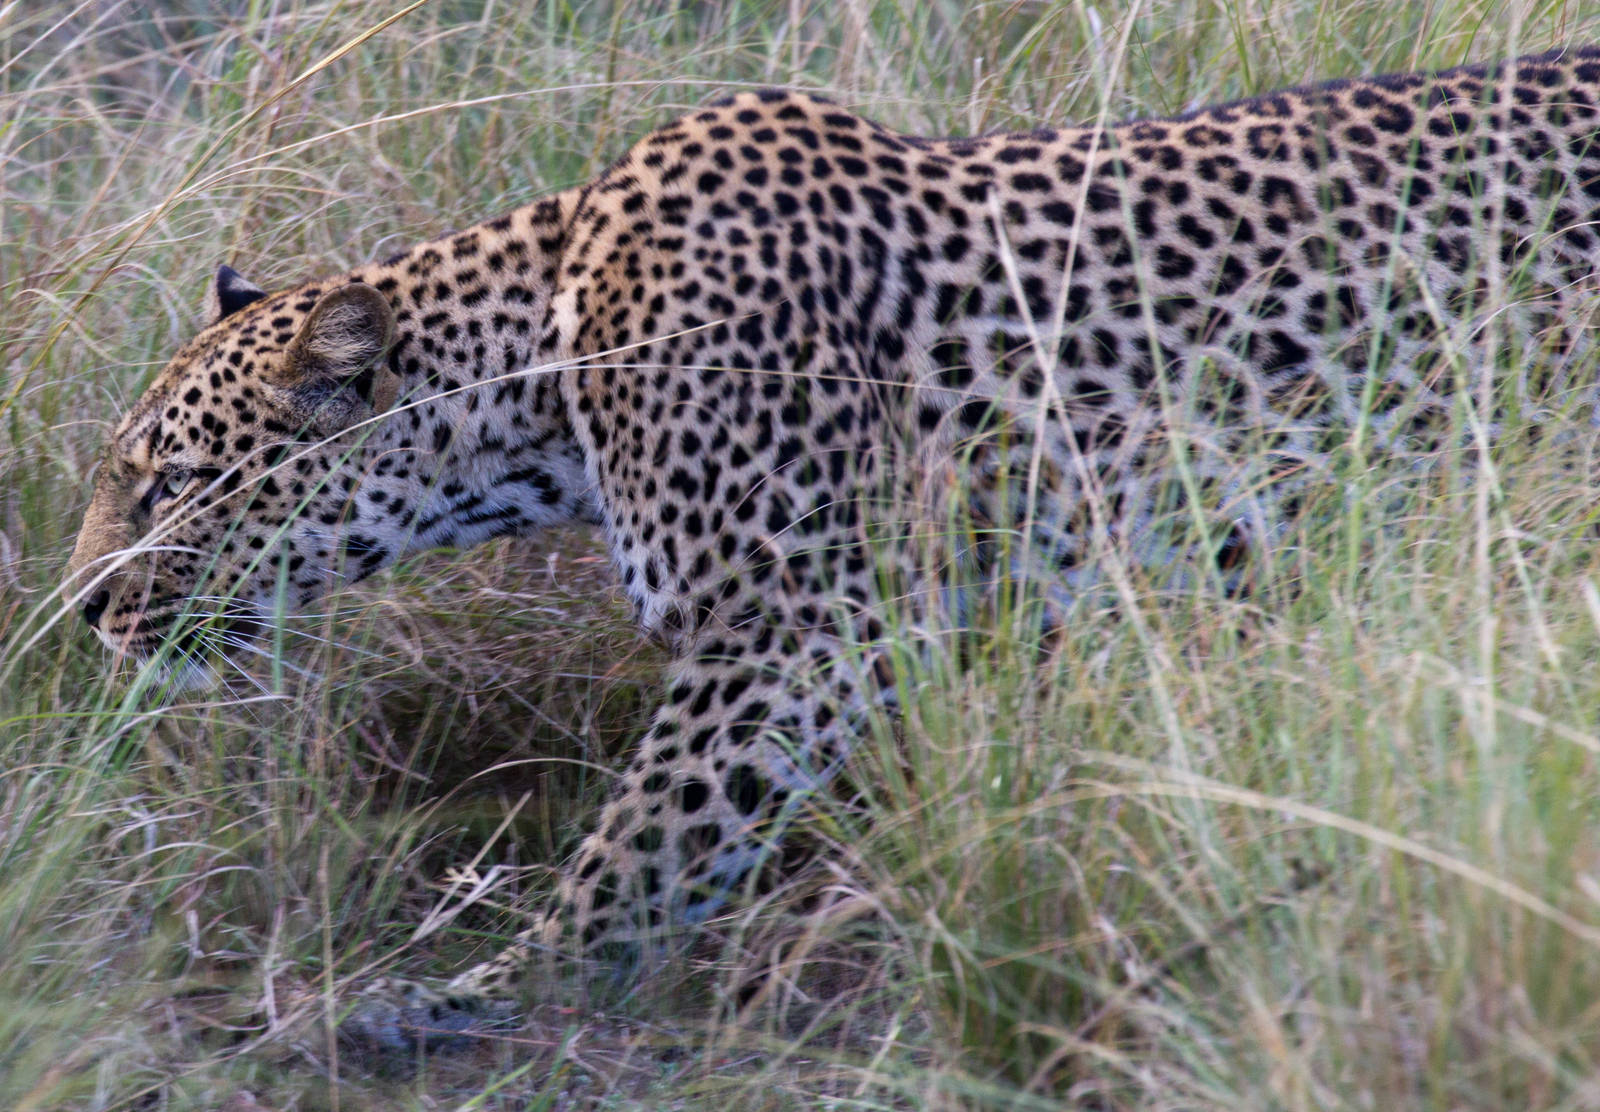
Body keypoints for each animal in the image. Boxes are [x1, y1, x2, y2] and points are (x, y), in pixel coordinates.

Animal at [66, 46, 1600, 1052]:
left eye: (170, 488)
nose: (80, 610)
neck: (545, 380)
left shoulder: (793, 628)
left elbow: (640, 842)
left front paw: (476, 993)